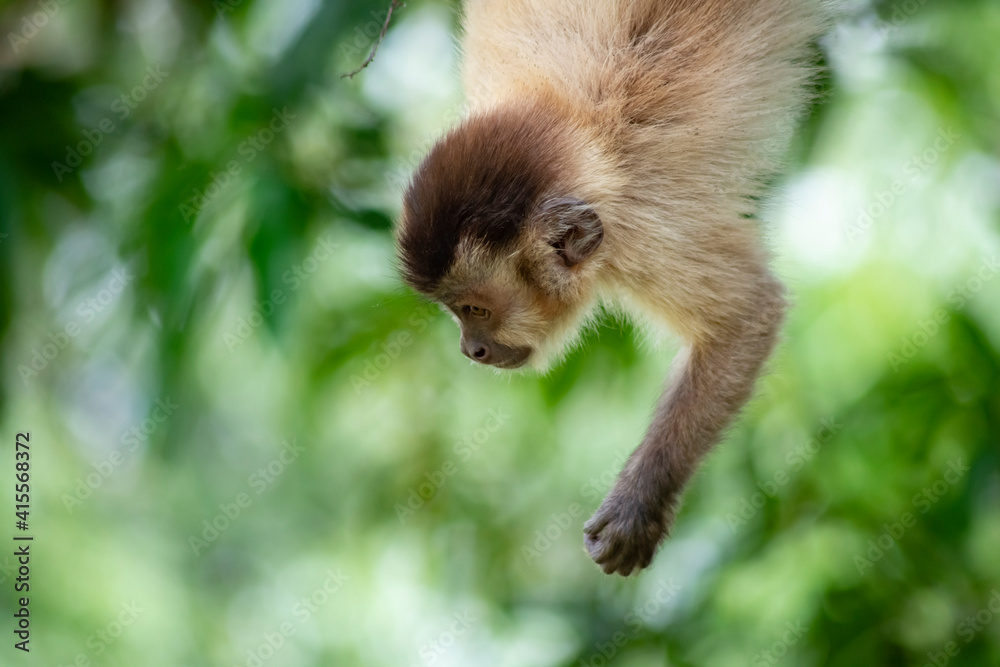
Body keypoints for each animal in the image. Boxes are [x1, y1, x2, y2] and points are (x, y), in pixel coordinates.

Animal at [394, 0, 828, 575]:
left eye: (475, 309)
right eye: (454, 312)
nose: (471, 349)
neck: (574, 130)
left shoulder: (640, 229)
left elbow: (748, 316)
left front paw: (640, 504)